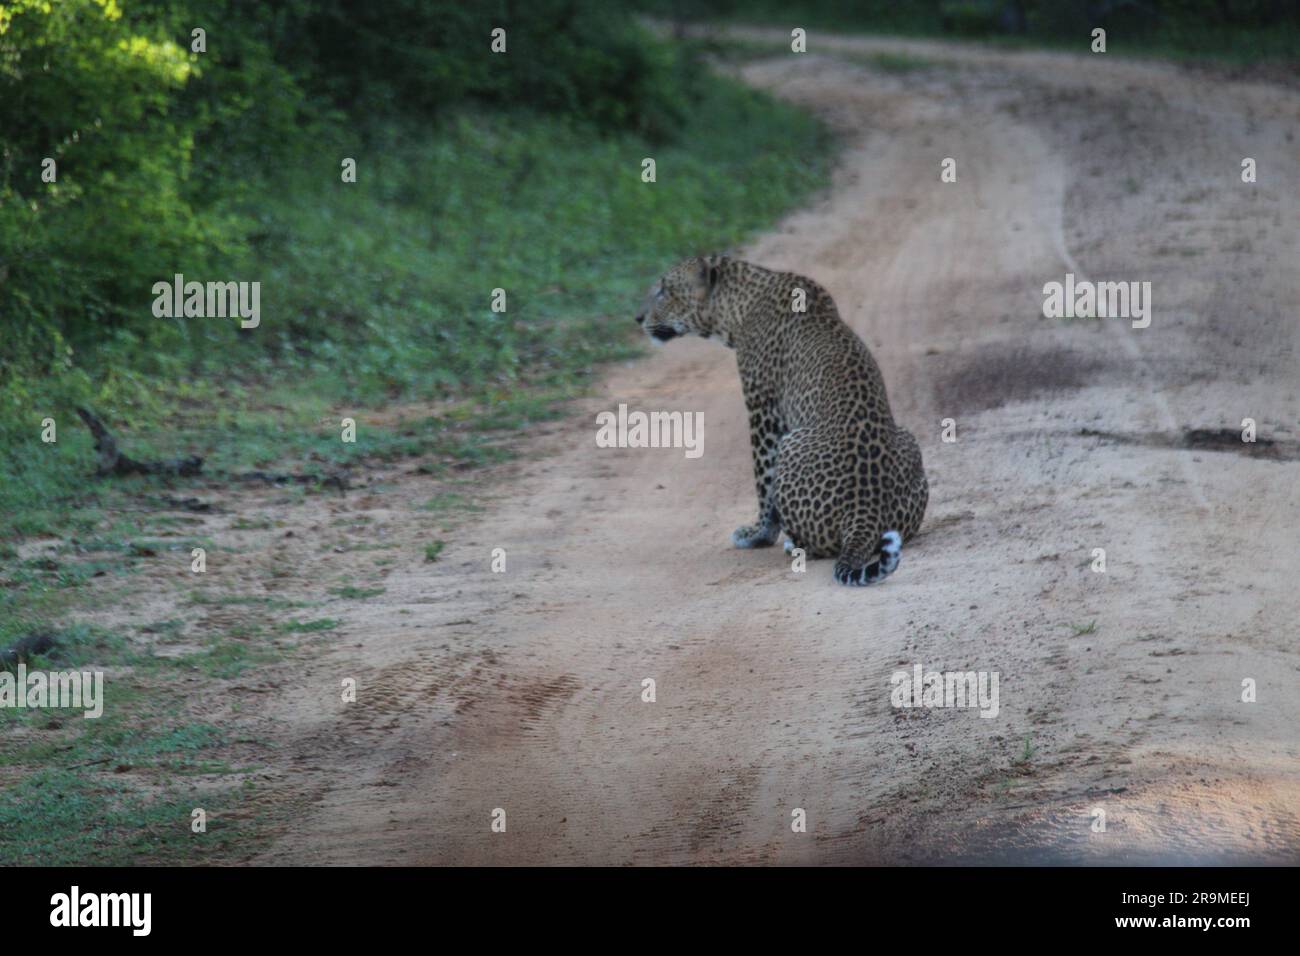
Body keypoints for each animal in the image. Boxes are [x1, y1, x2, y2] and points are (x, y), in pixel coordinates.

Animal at [634, 254, 930, 582]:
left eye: (664, 290)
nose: (637, 318)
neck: (738, 307)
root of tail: (866, 508)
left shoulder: (763, 409)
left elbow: (763, 478)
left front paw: (758, 535)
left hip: (791, 441)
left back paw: (792, 544)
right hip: (908, 441)